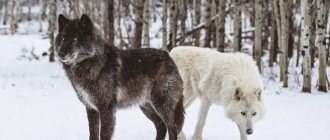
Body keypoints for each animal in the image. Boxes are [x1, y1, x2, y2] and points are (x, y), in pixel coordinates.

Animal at [54, 14, 183, 140]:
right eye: (63, 38)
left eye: (75, 39)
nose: (60, 53)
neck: (89, 63)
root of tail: (168, 56)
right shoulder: (91, 108)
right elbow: (93, 134)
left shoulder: (106, 109)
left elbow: (104, 135)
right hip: (147, 107)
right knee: (161, 126)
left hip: (161, 105)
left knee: (172, 128)